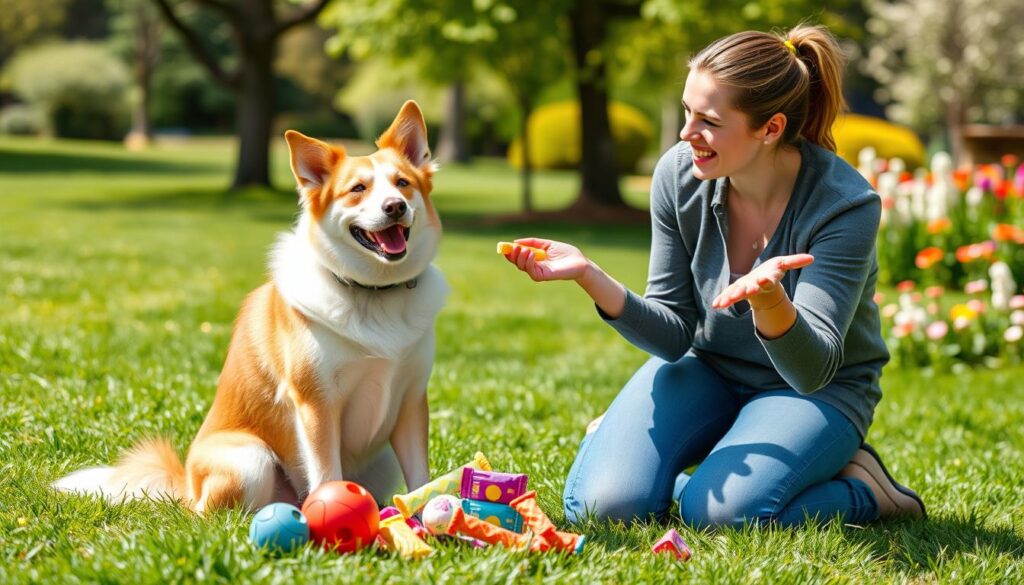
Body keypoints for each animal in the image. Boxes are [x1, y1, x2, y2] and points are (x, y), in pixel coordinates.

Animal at [50, 102, 444, 514]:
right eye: (358, 189)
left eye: (402, 183)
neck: (373, 291)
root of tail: (186, 483)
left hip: (381, 460)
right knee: (206, 515)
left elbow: (421, 477)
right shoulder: (315, 404)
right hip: (249, 460)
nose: (395, 206)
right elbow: (326, 473)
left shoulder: (411, 400)